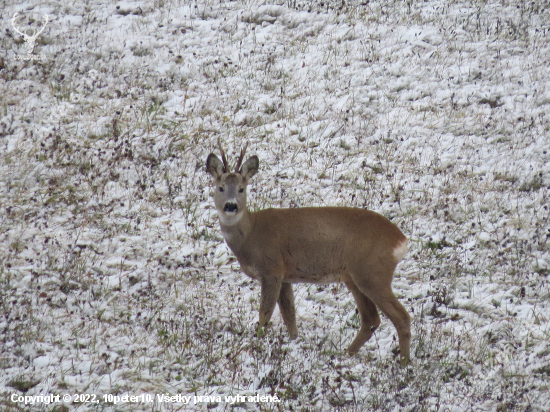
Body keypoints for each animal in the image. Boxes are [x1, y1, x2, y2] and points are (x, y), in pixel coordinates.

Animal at [208, 141, 414, 364]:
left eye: (241, 188)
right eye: (220, 188)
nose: (231, 206)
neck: (250, 235)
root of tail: (401, 240)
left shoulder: (272, 269)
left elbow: (265, 313)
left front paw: (258, 344)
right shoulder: (286, 275)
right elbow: (289, 315)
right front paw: (292, 343)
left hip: (373, 273)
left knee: (401, 316)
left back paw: (404, 363)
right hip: (354, 277)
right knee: (371, 319)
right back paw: (344, 355)